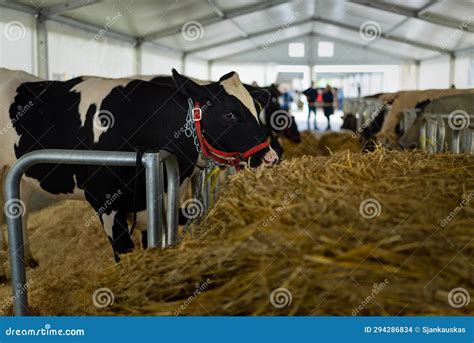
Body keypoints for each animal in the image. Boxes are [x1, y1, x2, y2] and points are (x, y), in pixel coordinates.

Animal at [0, 68, 278, 282]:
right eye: (230, 114)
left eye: (256, 110)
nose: (270, 158)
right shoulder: (104, 198)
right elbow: (124, 251)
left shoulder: (152, 197)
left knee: (20, 208)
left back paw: (27, 259)